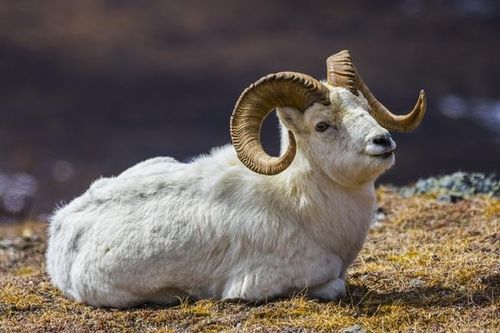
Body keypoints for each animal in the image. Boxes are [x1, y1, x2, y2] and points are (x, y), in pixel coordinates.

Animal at [46, 50, 426, 308]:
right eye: (322, 125)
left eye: (364, 108)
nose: (383, 142)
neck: (301, 208)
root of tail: (61, 225)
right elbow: (336, 285)